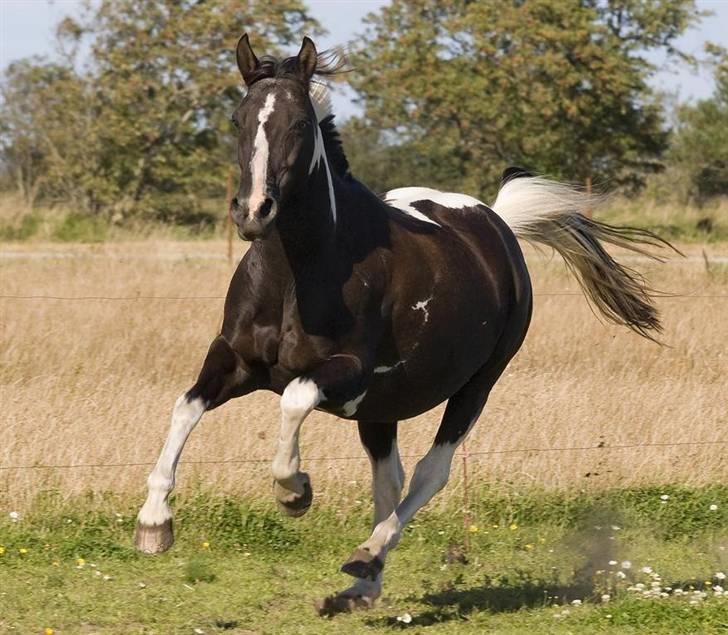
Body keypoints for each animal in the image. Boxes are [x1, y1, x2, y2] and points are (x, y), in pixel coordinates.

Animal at [135, 36, 672, 616]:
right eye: (238, 119)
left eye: (299, 123)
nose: (254, 211)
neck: (296, 273)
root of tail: (497, 223)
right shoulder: (235, 362)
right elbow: (185, 407)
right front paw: (154, 524)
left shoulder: (347, 374)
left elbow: (293, 401)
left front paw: (294, 491)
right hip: (383, 408)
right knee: (388, 480)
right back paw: (361, 585)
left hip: (475, 386)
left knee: (429, 472)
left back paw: (366, 556)